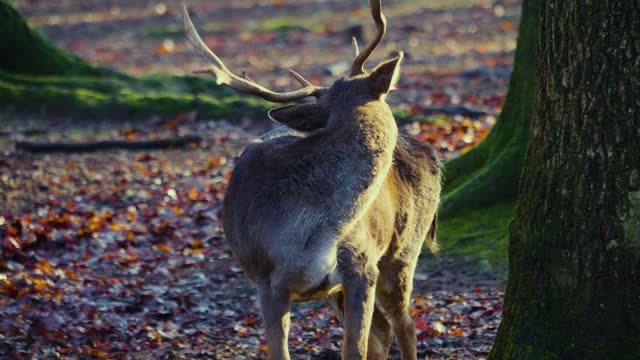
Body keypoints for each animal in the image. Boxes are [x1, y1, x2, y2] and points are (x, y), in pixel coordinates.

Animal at [180, 1, 440, 358]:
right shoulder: (267, 280)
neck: (307, 234)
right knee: (387, 329)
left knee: (406, 324)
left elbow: (354, 348)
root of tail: (432, 154)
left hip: (403, 250)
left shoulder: (362, 268)